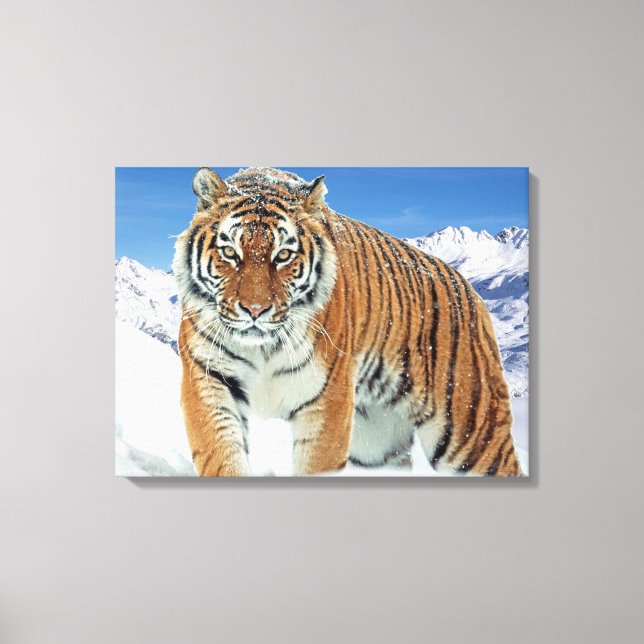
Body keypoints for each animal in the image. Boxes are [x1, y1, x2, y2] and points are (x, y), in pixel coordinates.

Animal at [172, 166, 522, 477]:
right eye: (230, 253)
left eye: (283, 255)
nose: (255, 310)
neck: (264, 348)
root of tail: (469, 289)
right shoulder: (208, 377)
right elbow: (221, 456)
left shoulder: (328, 398)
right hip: (376, 444)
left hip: (471, 432)